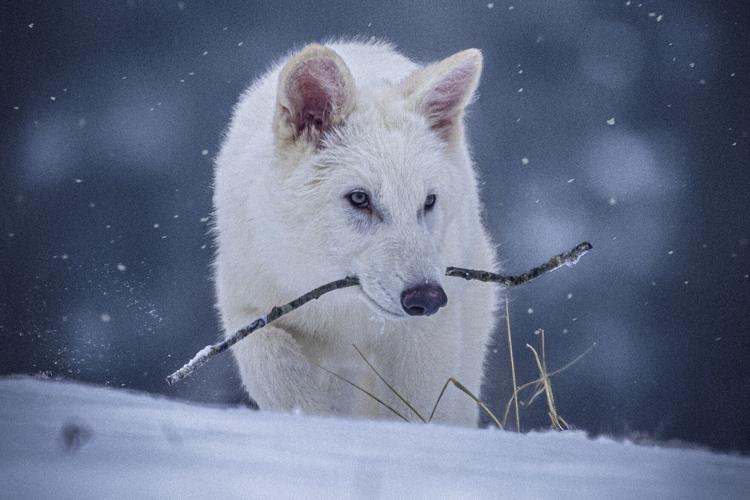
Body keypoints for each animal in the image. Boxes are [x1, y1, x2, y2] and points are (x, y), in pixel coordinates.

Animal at [213, 40, 499, 426]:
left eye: (428, 201)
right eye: (360, 198)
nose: (427, 297)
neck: (344, 312)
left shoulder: (425, 336)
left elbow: (416, 409)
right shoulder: (248, 310)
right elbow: (277, 369)